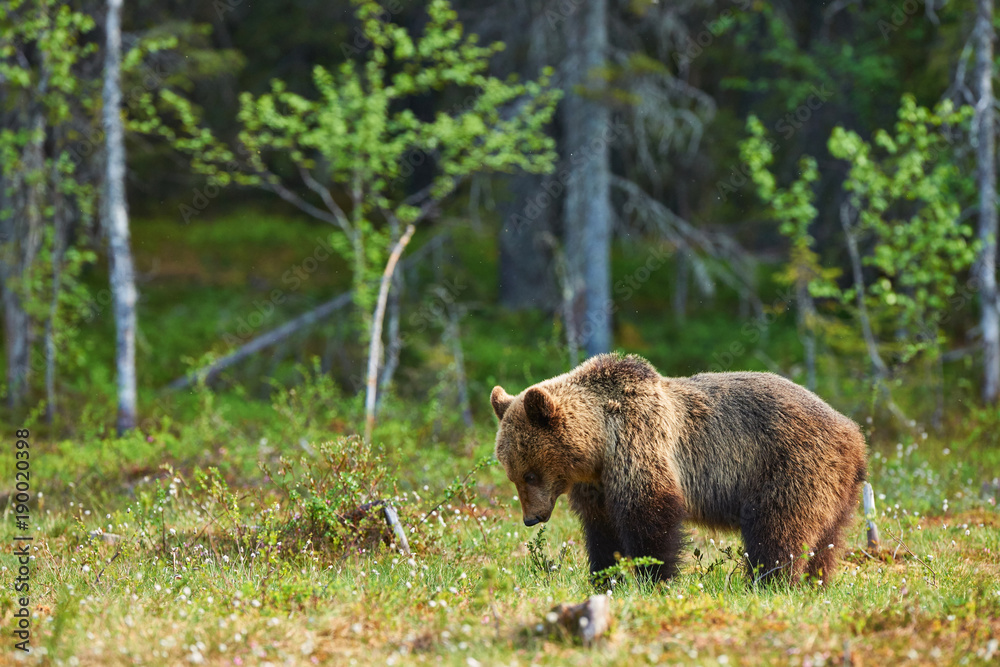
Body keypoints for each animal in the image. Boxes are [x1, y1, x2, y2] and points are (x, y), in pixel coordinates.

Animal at [490, 353, 868, 584]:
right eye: (513, 475)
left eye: (530, 473)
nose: (531, 518)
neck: (599, 445)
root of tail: (854, 434)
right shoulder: (596, 485)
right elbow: (601, 531)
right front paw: (604, 577)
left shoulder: (641, 443)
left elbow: (650, 516)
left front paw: (653, 576)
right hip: (837, 490)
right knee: (827, 539)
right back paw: (813, 583)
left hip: (790, 466)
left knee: (778, 528)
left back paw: (767, 582)